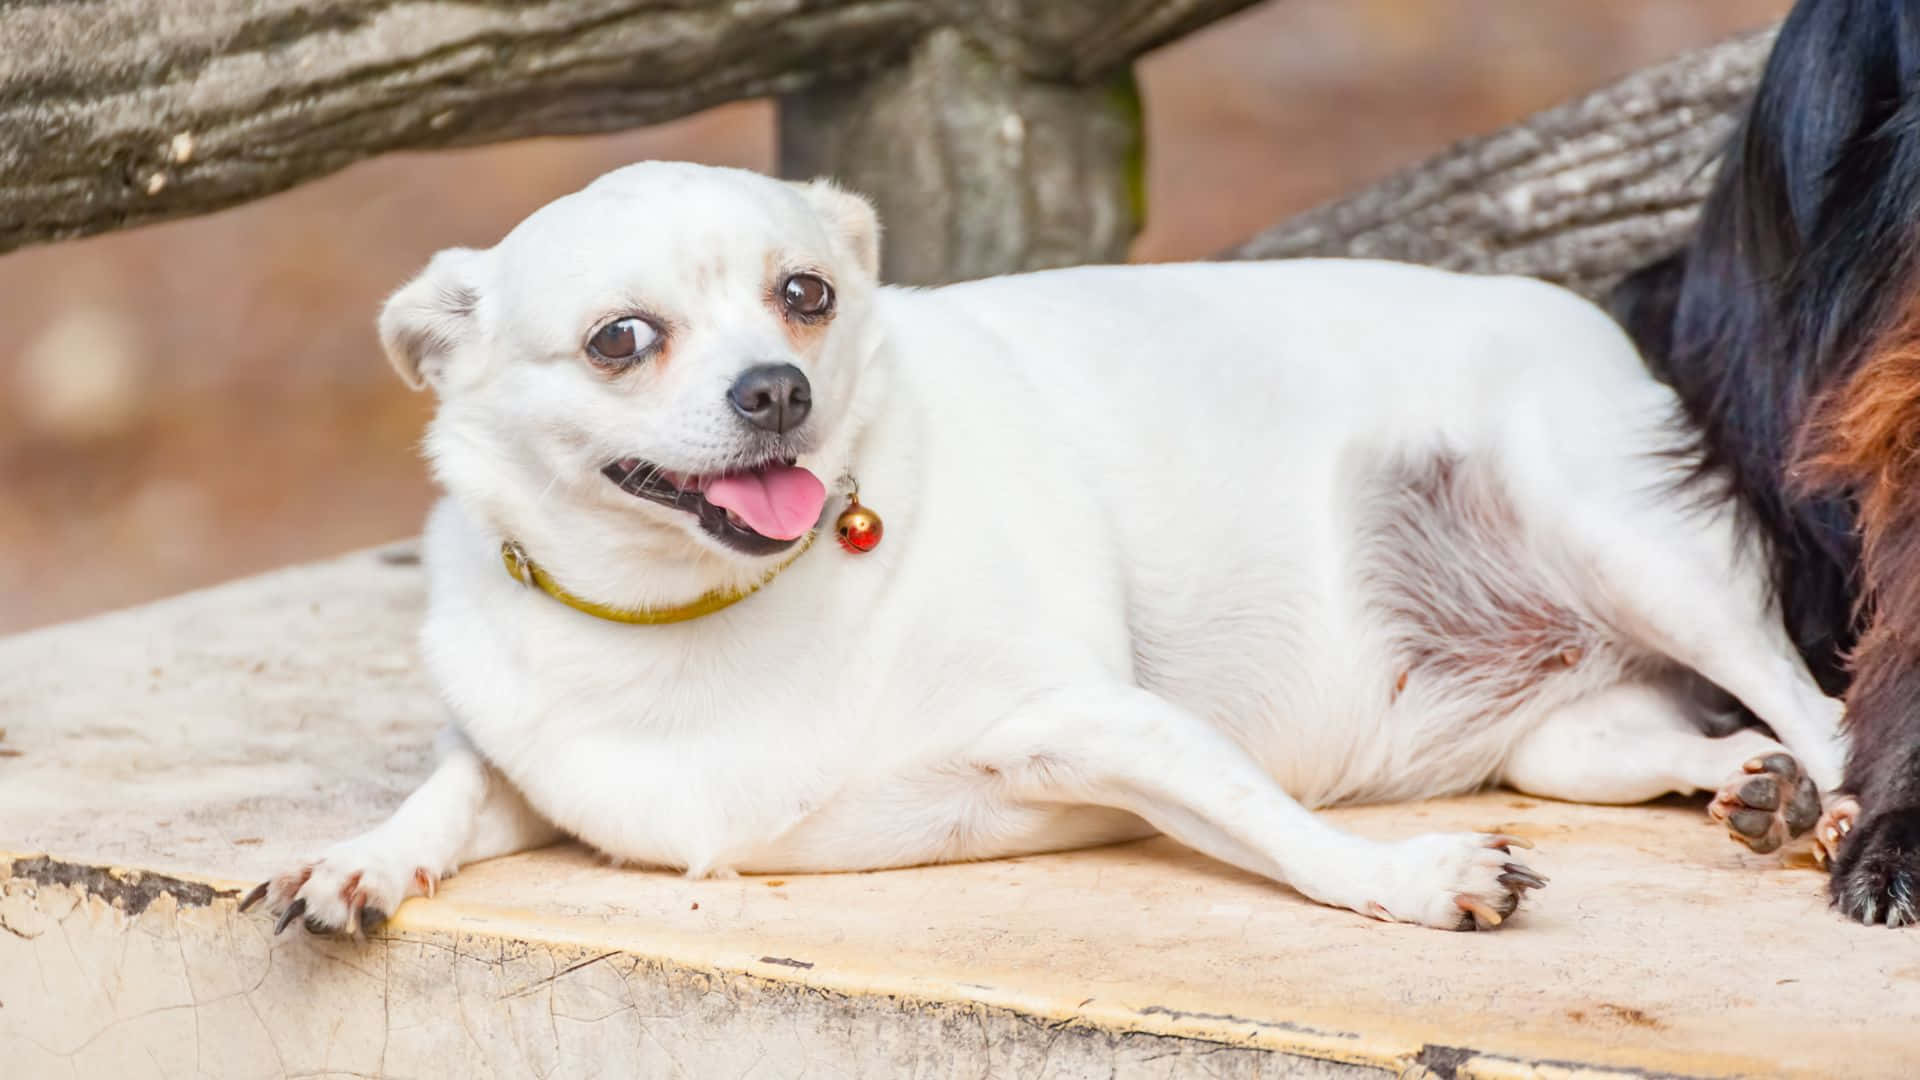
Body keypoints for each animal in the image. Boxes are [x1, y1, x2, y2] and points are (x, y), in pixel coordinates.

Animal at [243, 164, 1843, 930]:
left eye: (808, 294)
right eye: (619, 341)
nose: (778, 389)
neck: (710, 617)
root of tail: (1582, 309)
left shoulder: (1101, 724)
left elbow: (1281, 832)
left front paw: (1405, 880)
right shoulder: (535, 775)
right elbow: (452, 792)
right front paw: (356, 863)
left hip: (1641, 553)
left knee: (1813, 701)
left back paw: (1837, 810)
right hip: (1561, 733)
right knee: (1665, 737)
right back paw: (1747, 793)